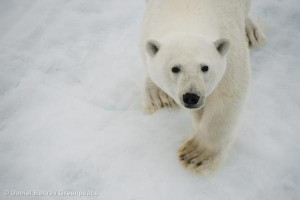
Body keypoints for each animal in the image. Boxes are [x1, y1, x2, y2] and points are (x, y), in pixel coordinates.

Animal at [140, 0, 264, 173]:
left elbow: (228, 93)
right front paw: (159, 95)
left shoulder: (230, 44)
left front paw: (196, 155)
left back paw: (251, 32)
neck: (186, 8)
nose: (191, 97)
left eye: (205, 67)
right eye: (175, 68)